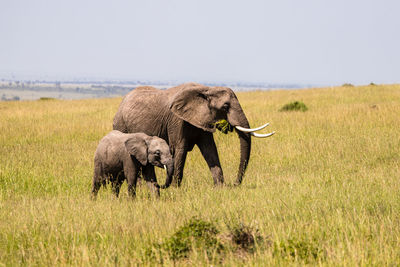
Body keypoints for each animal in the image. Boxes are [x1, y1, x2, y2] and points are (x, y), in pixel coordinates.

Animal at [114, 82, 274, 187]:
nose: (235, 184)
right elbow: (180, 149)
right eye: (225, 106)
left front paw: (220, 188)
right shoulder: (177, 121)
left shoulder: (202, 120)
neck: (206, 90)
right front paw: (175, 189)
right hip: (121, 125)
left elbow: (210, 149)